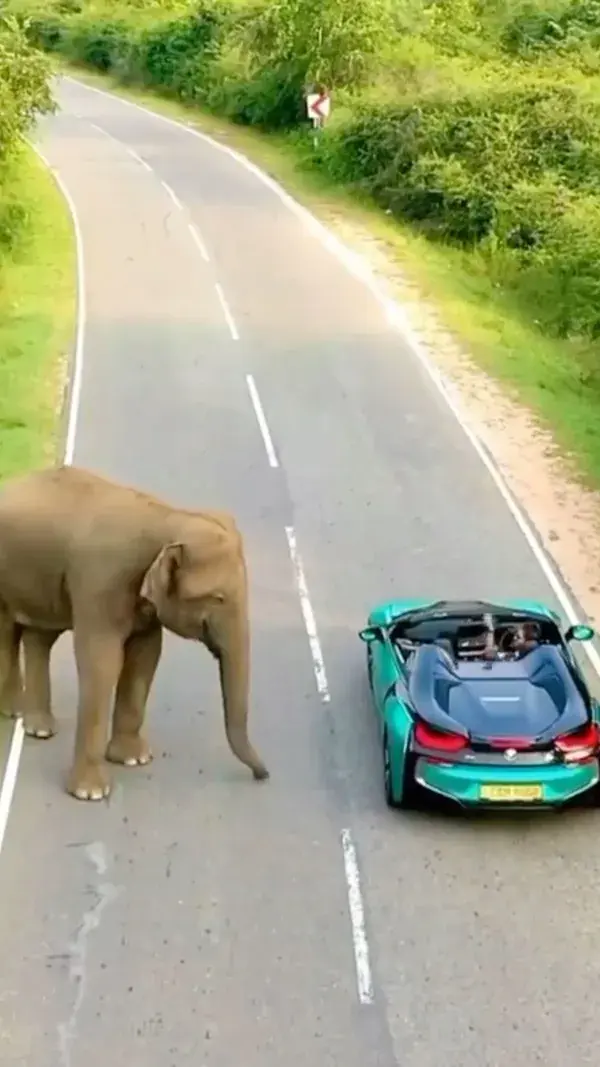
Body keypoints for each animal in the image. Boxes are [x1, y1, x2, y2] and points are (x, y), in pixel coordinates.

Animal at [0, 465, 269, 802]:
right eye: (218, 598)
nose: (263, 775)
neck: (167, 517)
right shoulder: (100, 582)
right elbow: (102, 662)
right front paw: (90, 793)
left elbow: (146, 655)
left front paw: (133, 759)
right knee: (8, 632)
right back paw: (13, 712)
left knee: (39, 636)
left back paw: (38, 727)